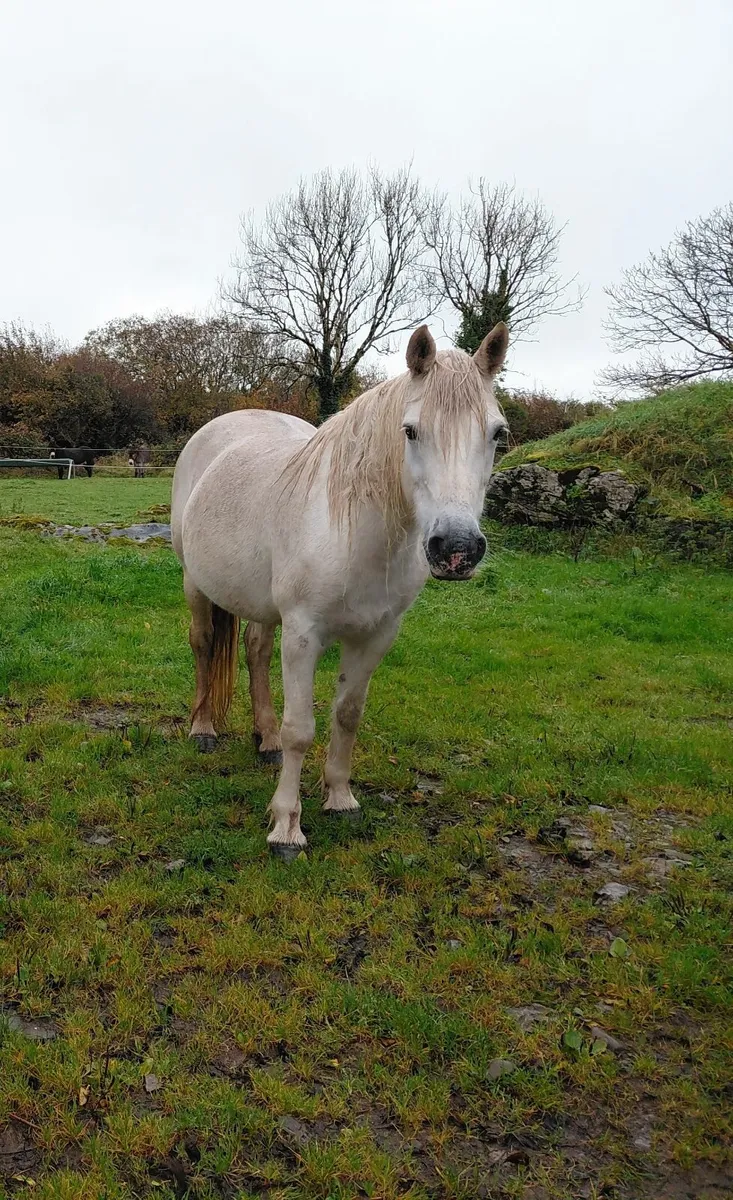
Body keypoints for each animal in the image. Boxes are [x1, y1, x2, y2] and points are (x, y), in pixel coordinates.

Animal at [171, 323, 509, 859]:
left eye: (498, 434)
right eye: (410, 430)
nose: (456, 549)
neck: (355, 534)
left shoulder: (376, 636)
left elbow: (347, 716)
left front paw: (340, 798)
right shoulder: (303, 635)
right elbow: (301, 730)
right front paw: (286, 828)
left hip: (262, 606)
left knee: (255, 651)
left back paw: (264, 738)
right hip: (195, 584)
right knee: (204, 644)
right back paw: (203, 728)